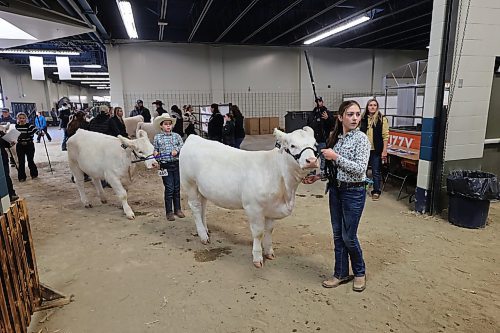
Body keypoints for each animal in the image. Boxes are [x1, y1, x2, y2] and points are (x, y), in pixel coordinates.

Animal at [182, 127, 318, 268]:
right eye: (292, 145)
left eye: (314, 144)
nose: (312, 161)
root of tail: (194, 137)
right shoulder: (253, 208)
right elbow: (258, 233)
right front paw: (257, 257)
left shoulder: (272, 208)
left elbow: (269, 230)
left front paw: (269, 252)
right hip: (189, 183)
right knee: (195, 207)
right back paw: (203, 235)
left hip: (202, 188)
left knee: (203, 206)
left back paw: (205, 230)